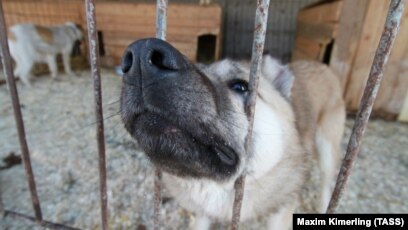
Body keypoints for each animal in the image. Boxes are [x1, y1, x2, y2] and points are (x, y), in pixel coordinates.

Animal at [119, 38, 346, 229]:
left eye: (240, 86)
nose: (140, 54)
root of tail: (323, 65)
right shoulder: (202, 214)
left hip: (328, 152)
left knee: (327, 184)